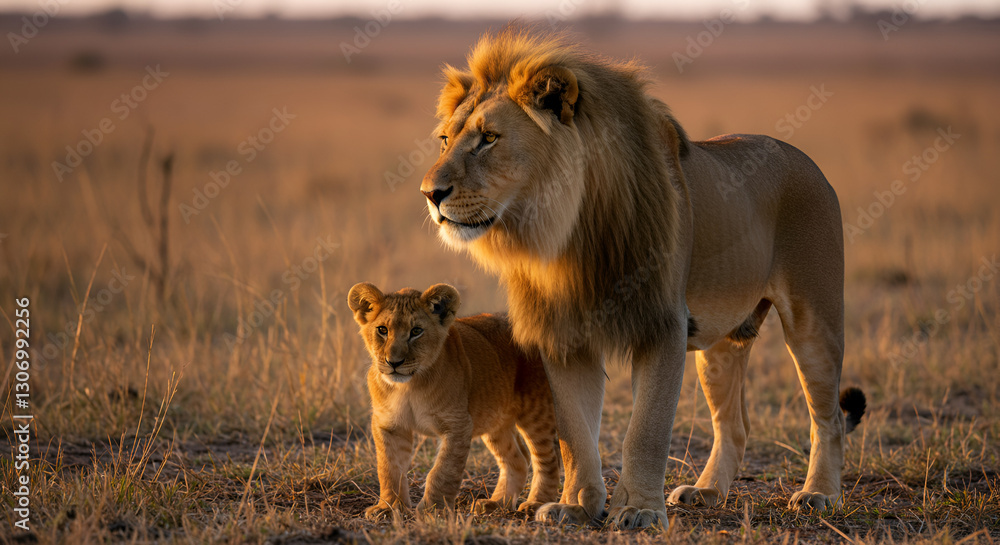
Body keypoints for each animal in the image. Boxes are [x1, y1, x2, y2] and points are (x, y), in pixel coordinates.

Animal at [347, 282, 560, 520]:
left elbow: (443, 471)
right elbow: (388, 467)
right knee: (518, 459)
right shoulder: (389, 425)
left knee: (548, 460)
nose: (394, 362)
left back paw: (536, 504)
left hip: (536, 413)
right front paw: (389, 507)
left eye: (416, 331)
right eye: (382, 330)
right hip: (494, 420)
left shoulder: (457, 425)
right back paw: (495, 504)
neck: (408, 386)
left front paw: (432, 510)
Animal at [419, 28, 866, 529]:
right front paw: (576, 505)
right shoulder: (564, 334)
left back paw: (819, 494)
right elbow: (574, 432)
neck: (565, 234)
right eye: (444, 139)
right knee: (734, 424)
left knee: (828, 418)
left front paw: (638, 510)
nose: (430, 194)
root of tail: (805, 159)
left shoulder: (661, 325)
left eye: (489, 138)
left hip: (814, 321)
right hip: (720, 345)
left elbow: (646, 430)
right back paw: (707, 491)